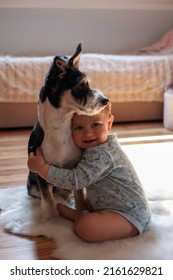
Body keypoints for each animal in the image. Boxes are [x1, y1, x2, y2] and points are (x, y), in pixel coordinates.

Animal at [26, 43, 108, 221]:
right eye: (81, 86)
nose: (106, 100)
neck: (61, 127)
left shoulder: (75, 168)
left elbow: (79, 195)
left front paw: (79, 211)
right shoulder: (41, 173)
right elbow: (48, 199)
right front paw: (48, 221)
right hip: (31, 185)